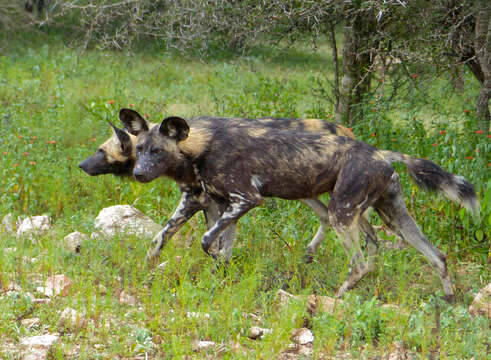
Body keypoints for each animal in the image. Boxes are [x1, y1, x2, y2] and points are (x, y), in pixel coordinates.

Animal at [128, 114, 480, 300]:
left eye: (158, 151)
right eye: (139, 149)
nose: (138, 173)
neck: (201, 146)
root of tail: (381, 153)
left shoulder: (244, 200)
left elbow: (206, 242)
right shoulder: (213, 204)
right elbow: (162, 240)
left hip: (342, 213)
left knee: (359, 262)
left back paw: (336, 298)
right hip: (389, 216)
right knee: (435, 256)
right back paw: (448, 302)